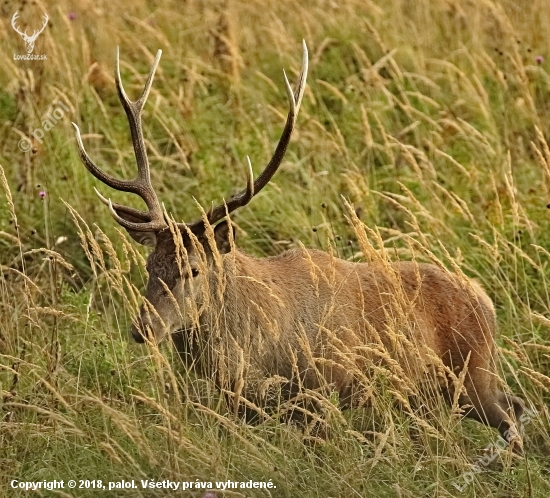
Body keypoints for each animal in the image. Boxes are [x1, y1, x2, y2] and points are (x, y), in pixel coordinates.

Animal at [73, 42, 528, 452]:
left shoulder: (322, 390)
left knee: (513, 416)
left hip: (472, 372)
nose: (142, 329)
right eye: (150, 265)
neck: (257, 346)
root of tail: (486, 300)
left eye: (194, 269)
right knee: (516, 405)